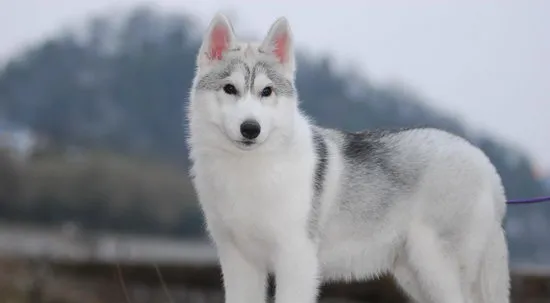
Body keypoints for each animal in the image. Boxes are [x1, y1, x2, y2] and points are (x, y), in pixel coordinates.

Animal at [187, 12, 512, 303]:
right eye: (230, 89)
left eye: (266, 91)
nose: (250, 128)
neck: (249, 172)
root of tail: (485, 163)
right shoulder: (238, 262)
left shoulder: (296, 260)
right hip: (415, 276)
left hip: (436, 270)